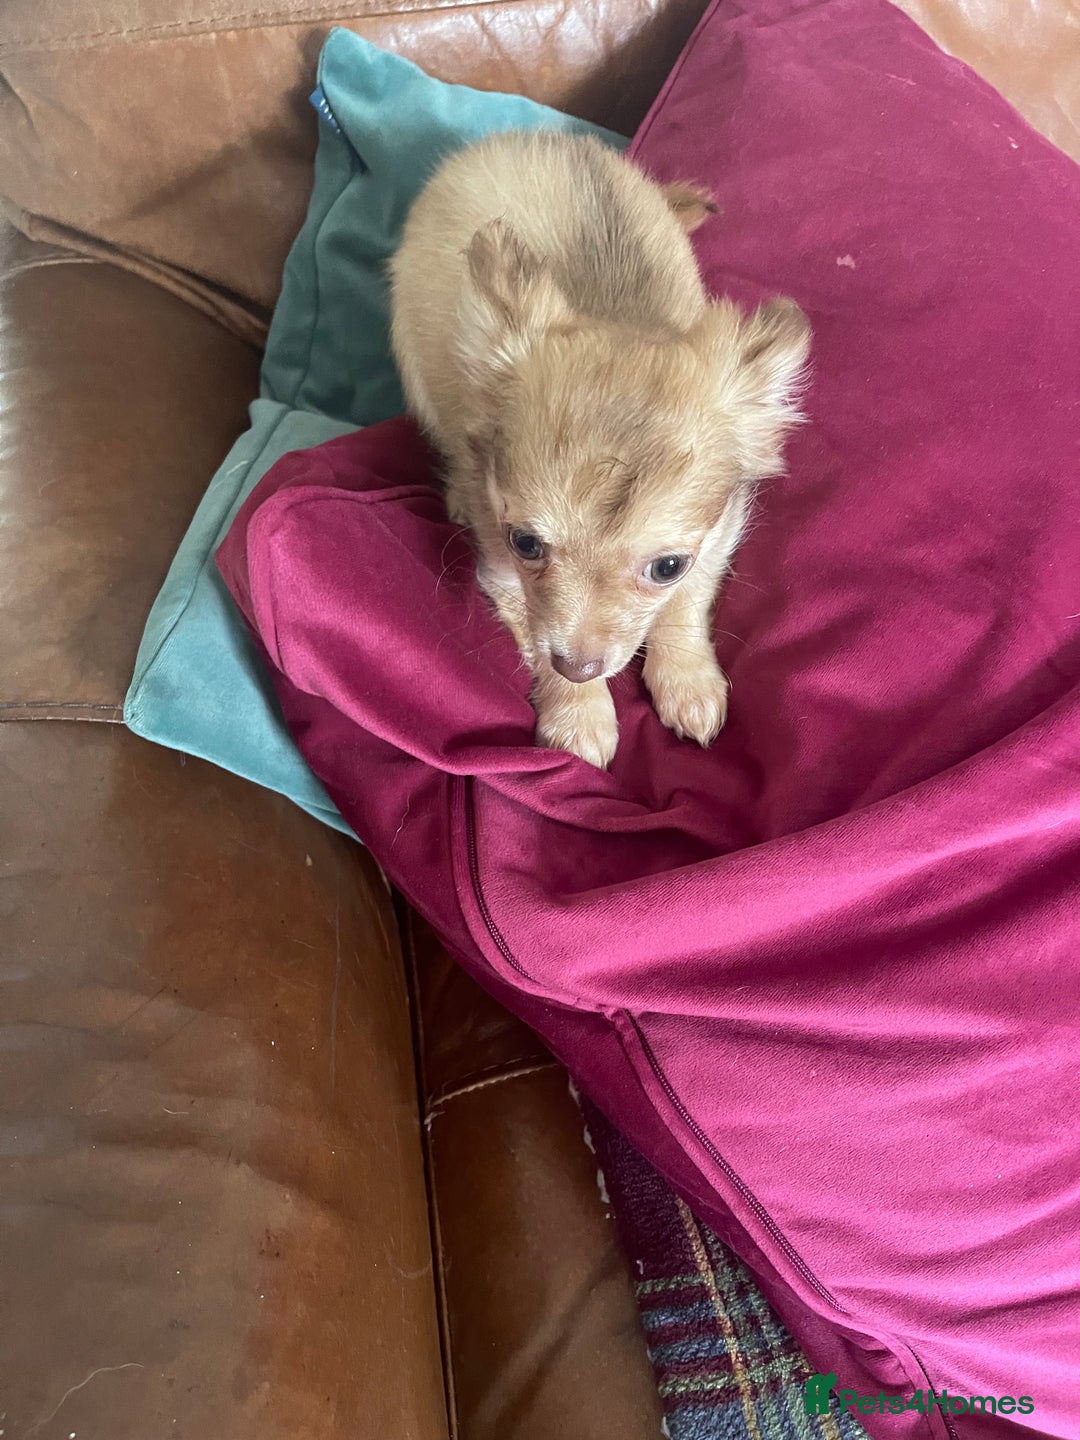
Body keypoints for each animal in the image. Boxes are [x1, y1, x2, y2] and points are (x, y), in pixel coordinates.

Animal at [389, 131, 809, 768]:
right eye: (525, 543)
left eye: (667, 566)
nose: (580, 664)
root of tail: (521, 136)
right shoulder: (503, 571)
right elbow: (536, 635)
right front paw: (578, 713)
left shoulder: (718, 536)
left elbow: (687, 603)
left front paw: (687, 680)